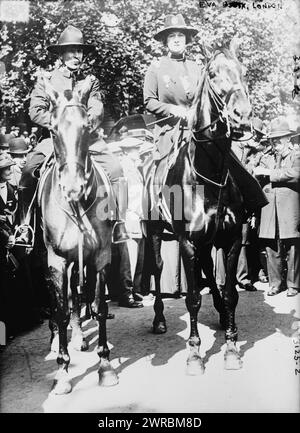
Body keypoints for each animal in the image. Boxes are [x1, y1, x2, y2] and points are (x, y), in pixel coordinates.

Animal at [146, 42, 254, 372]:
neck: (209, 176)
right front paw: (194, 353)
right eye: (214, 74)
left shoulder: (230, 239)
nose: (242, 116)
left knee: (208, 267)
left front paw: (231, 347)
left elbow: (231, 293)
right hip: (153, 232)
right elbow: (192, 297)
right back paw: (158, 319)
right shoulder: (187, 242)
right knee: (157, 268)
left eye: (243, 70)